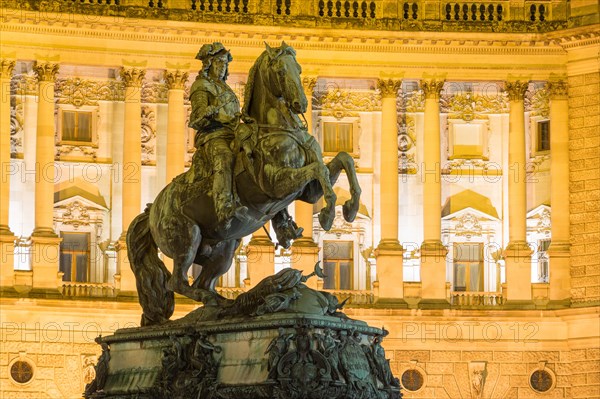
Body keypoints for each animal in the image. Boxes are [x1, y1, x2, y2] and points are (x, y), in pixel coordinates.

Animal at [126, 42, 360, 326]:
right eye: (280, 71)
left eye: (300, 69)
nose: (300, 103)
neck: (277, 129)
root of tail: (152, 209)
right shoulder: (276, 183)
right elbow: (320, 169)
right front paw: (328, 213)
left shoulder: (307, 191)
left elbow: (341, 160)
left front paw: (349, 207)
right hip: (187, 236)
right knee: (178, 282)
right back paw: (218, 302)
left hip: (224, 248)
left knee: (202, 281)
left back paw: (228, 304)